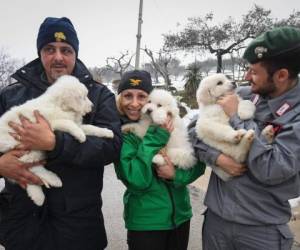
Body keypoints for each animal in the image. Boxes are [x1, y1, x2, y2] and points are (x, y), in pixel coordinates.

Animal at [0, 75, 113, 206]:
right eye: (83, 97)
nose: (93, 106)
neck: (61, 107)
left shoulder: (78, 124)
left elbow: (90, 127)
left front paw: (107, 132)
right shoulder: (49, 124)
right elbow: (67, 123)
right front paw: (80, 136)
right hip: (23, 146)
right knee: (29, 166)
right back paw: (52, 181)